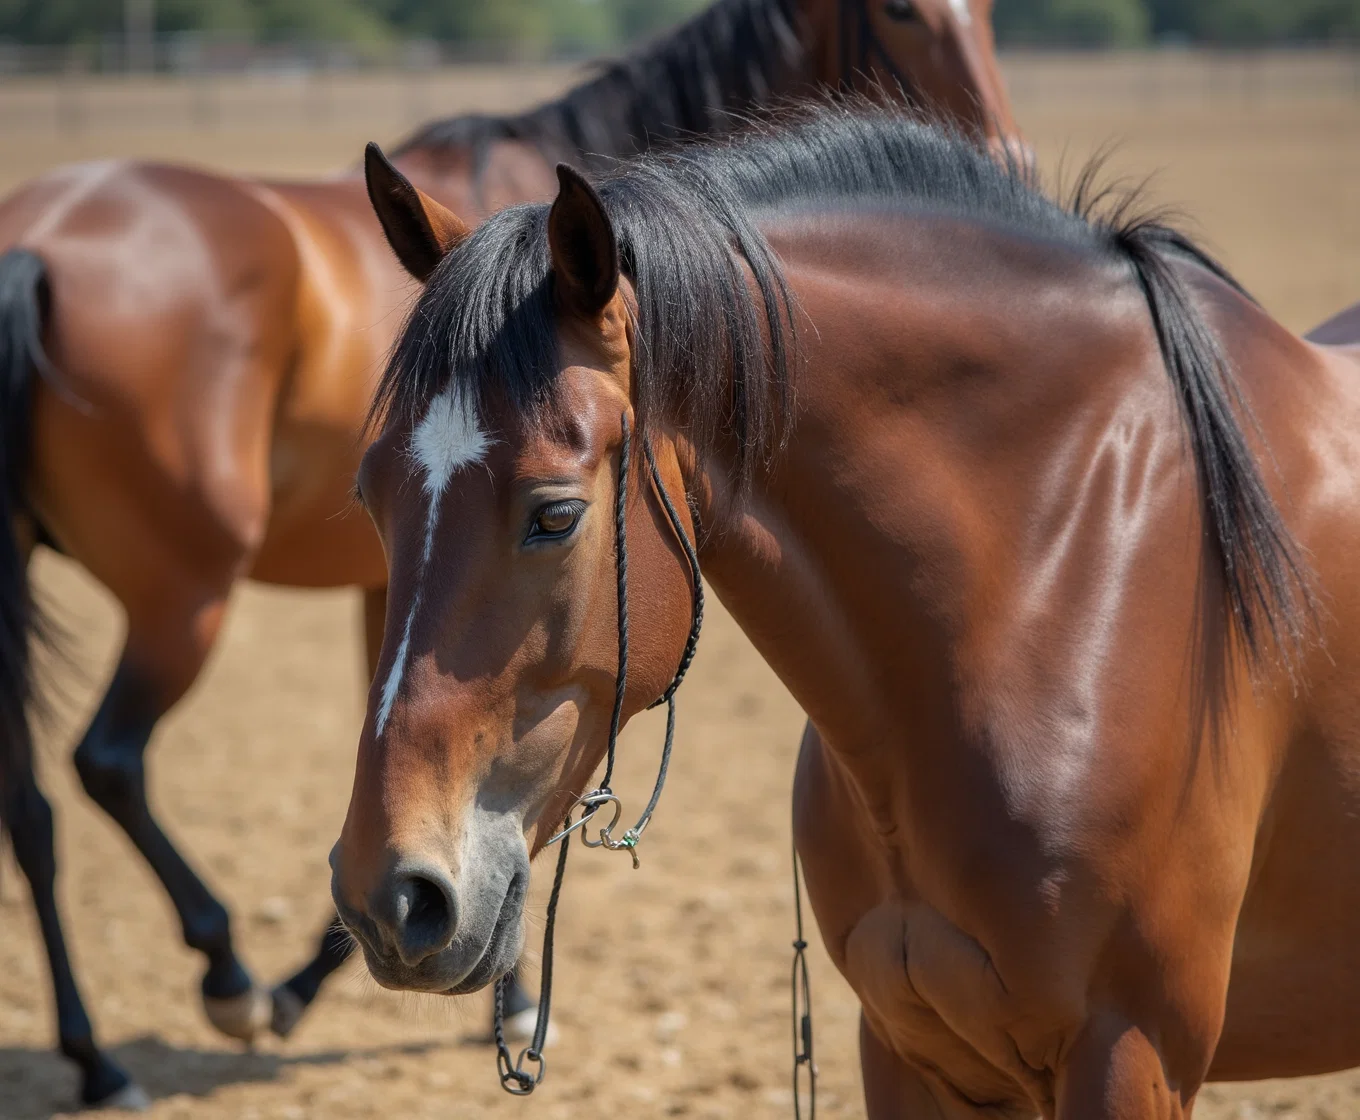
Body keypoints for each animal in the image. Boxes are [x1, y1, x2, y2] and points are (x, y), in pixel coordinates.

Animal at [0, 0, 1022, 1109]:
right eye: (904, 14)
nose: (1005, 155)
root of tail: (36, 245)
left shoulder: (395, 588)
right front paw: (477, 987)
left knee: (31, 809)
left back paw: (97, 1053)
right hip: (184, 594)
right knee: (108, 762)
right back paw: (222, 976)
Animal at [329, 100, 1360, 1114]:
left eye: (555, 514)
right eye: (370, 496)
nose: (389, 897)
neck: (1060, 579)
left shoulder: (1132, 1053)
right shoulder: (909, 1044)